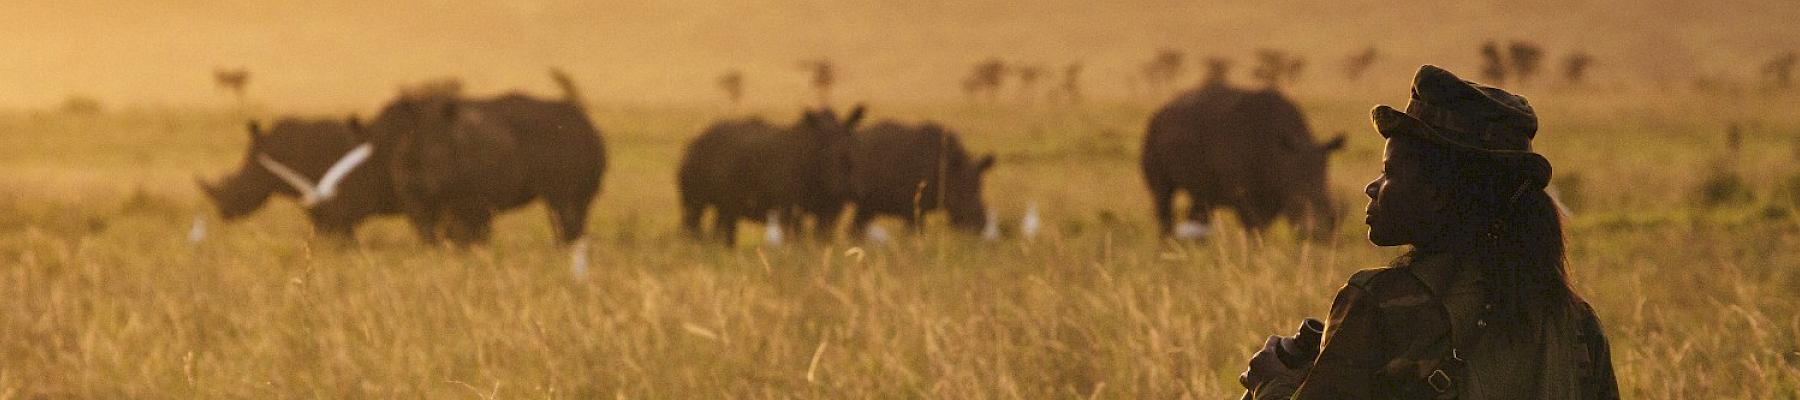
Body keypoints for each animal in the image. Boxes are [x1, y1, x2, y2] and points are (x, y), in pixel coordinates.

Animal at [347, 72, 608, 245]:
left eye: (439, 154)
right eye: (398, 161)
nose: (415, 184)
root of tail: (588, 124)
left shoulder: (474, 199)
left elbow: (468, 233)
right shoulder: (417, 200)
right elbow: (429, 230)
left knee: (565, 208)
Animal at [676, 104, 867, 245]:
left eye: (853, 148)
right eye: (824, 153)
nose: (847, 189)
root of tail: (693, 141)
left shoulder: (830, 207)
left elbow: (822, 238)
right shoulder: (788, 206)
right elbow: (795, 238)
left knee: (724, 216)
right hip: (694, 164)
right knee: (695, 213)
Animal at [846, 120, 1000, 236]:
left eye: (980, 188)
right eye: (960, 192)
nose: (980, 225)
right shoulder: (911, 208)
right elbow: (914, 234)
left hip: (868, 204)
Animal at [1144, 81, 1346, 239]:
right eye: (1297, 202)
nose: (1319, 236)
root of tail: (1161, 110)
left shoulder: (1274, 192)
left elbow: (1260, 228)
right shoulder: (1244, 194)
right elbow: (1253, 228)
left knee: (1201, 201)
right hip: (1151, 138)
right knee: (1163, 196)